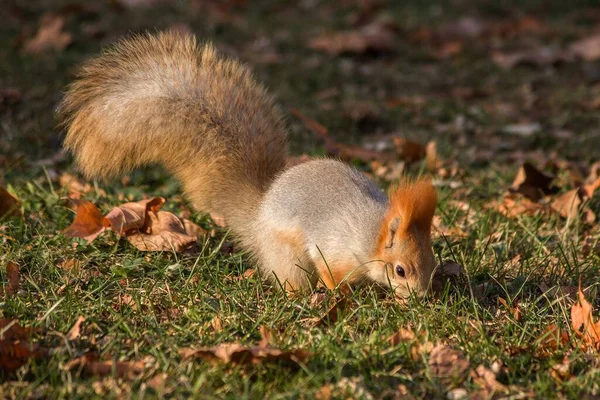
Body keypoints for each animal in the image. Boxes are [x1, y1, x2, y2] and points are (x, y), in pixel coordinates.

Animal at [57, 31, 440, 298]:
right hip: (287, 255)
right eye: (400, 270)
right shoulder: (334, 247)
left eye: (432, 261)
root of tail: (258, 214)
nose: (420, 297)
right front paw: (342, 293)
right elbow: (332, 274)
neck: (370, 233)